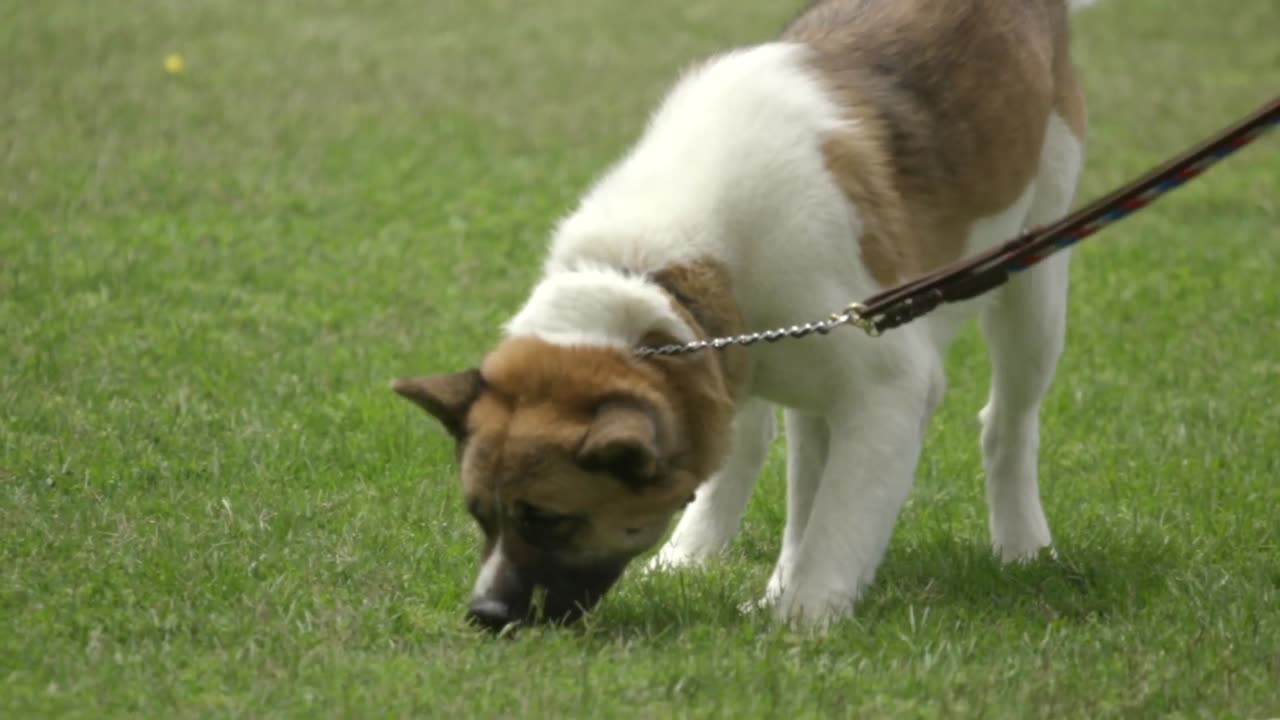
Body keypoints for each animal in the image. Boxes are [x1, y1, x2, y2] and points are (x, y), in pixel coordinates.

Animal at [394, 0, 1095, 627]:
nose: (483, 614)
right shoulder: (739, 356)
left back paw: (1022, 544)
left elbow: (843, 516)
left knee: (1007, 420)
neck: (656, 272)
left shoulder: (887, 388)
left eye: (548, 519)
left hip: (1033, 277)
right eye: (479, 516)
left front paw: (804, 618)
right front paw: (746, 581)